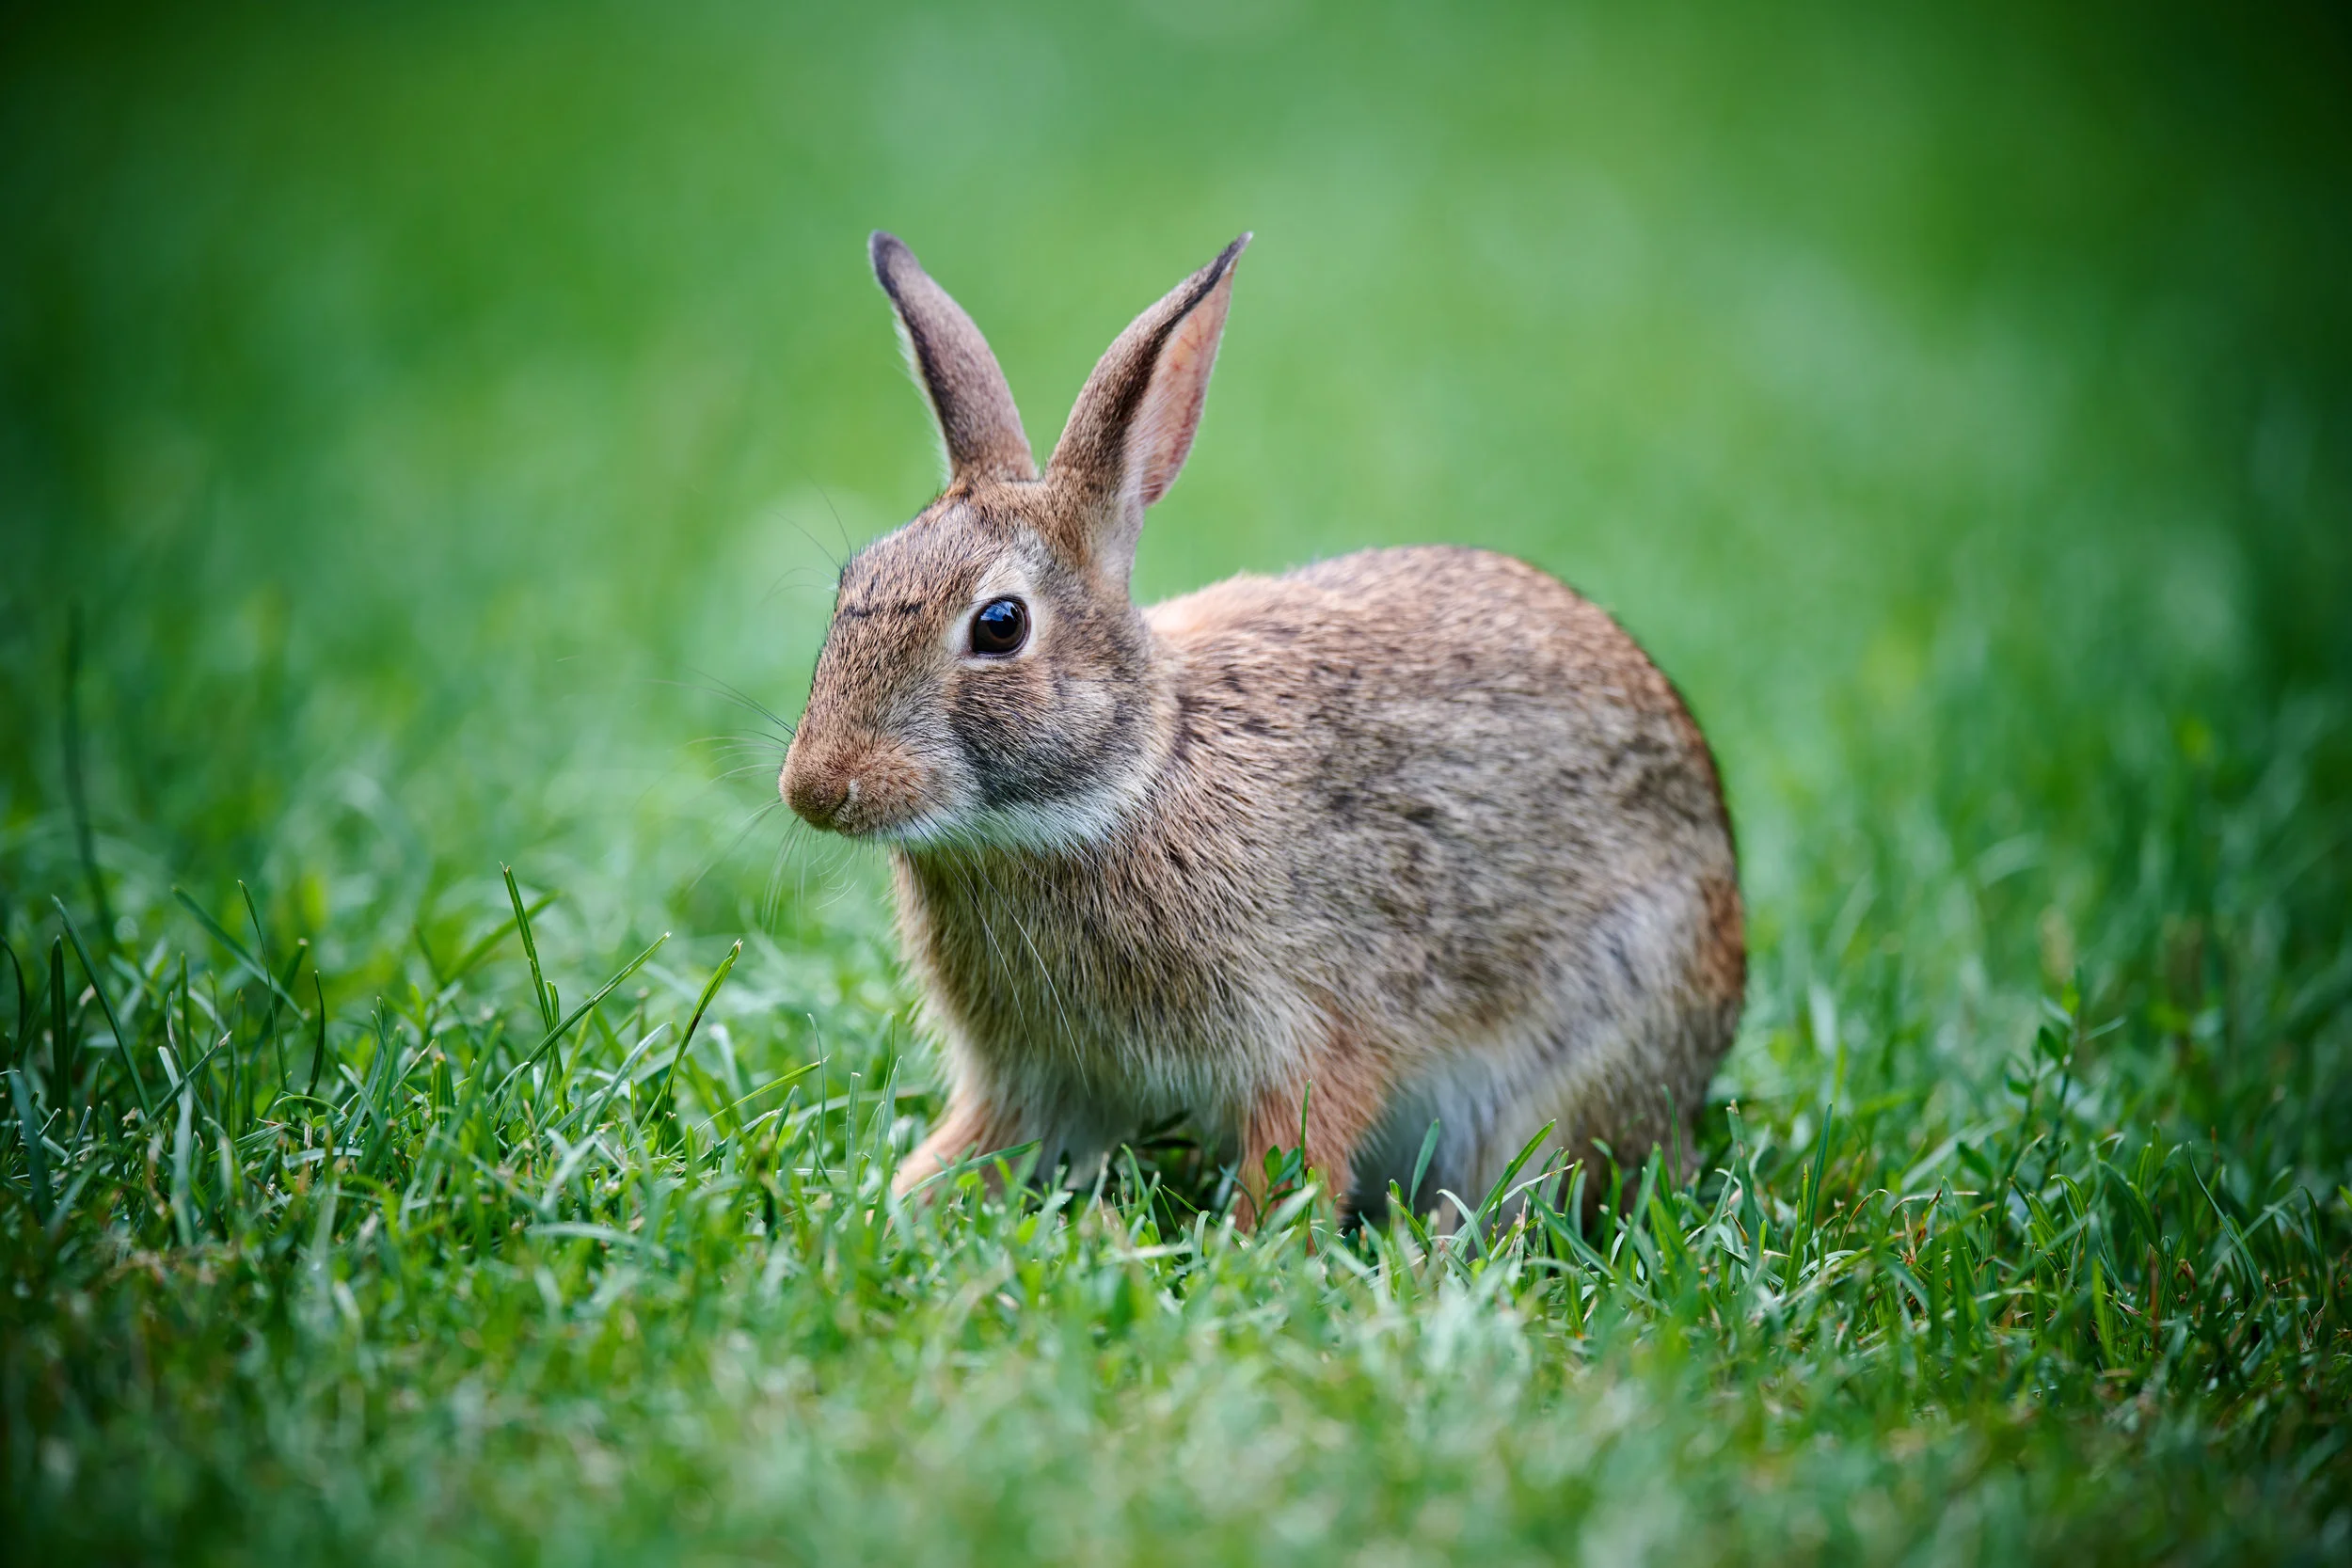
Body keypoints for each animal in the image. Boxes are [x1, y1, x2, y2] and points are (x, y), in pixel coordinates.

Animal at [779, 230, 1744, 1225]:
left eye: (1000, 625)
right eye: (855, 579)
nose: (816, 788)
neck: (1135, 776)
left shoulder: (1312, 1032)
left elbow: (1299, 1150)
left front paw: (1251, 1244)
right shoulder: (1038, 1074)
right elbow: (984, 1144)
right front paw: (898, 1200)